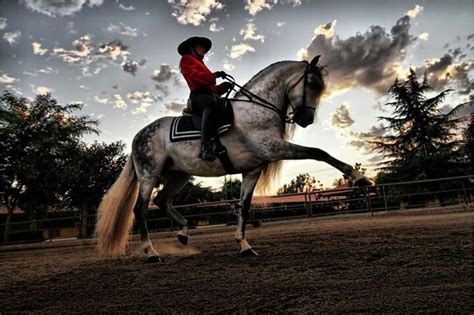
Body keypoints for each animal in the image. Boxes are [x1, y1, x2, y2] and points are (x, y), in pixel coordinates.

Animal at [95, 55, 370, 262]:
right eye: (312, 84)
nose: (305, 119)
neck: (255, 109)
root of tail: (139, 135)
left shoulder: (253, 169)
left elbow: (243, 206)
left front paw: (244, 245)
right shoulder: (275, 148)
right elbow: (319, 152)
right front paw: (359, 178)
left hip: (179, 175)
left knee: (161, 201)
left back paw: (183, 234)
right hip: (149, 173)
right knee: (141, 209)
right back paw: (151, 253)